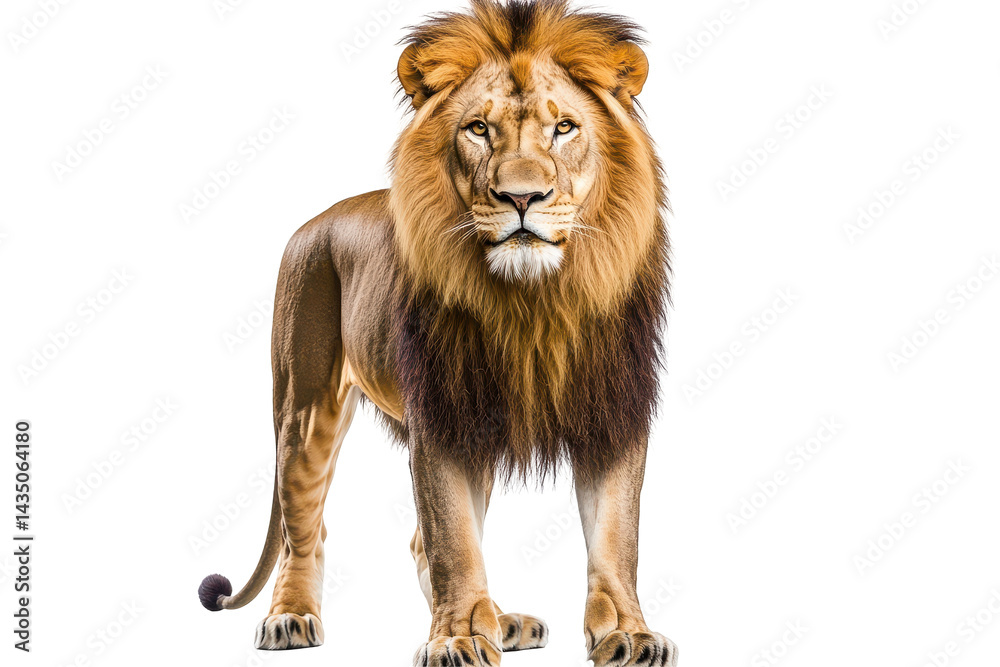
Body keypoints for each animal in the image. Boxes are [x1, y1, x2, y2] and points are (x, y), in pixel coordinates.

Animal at [197, 1, 676, 665]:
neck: (535, 301)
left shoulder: (609, 407)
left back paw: (501, 620)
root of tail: (315, 220)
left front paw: (627, 633)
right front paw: (457, 638)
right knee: (306, 527)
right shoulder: (442, 416)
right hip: (304, 404)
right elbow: (454, 539)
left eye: (565, 128)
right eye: (477, 129)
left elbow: (615, 536)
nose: (522, 196)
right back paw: (290, 617)